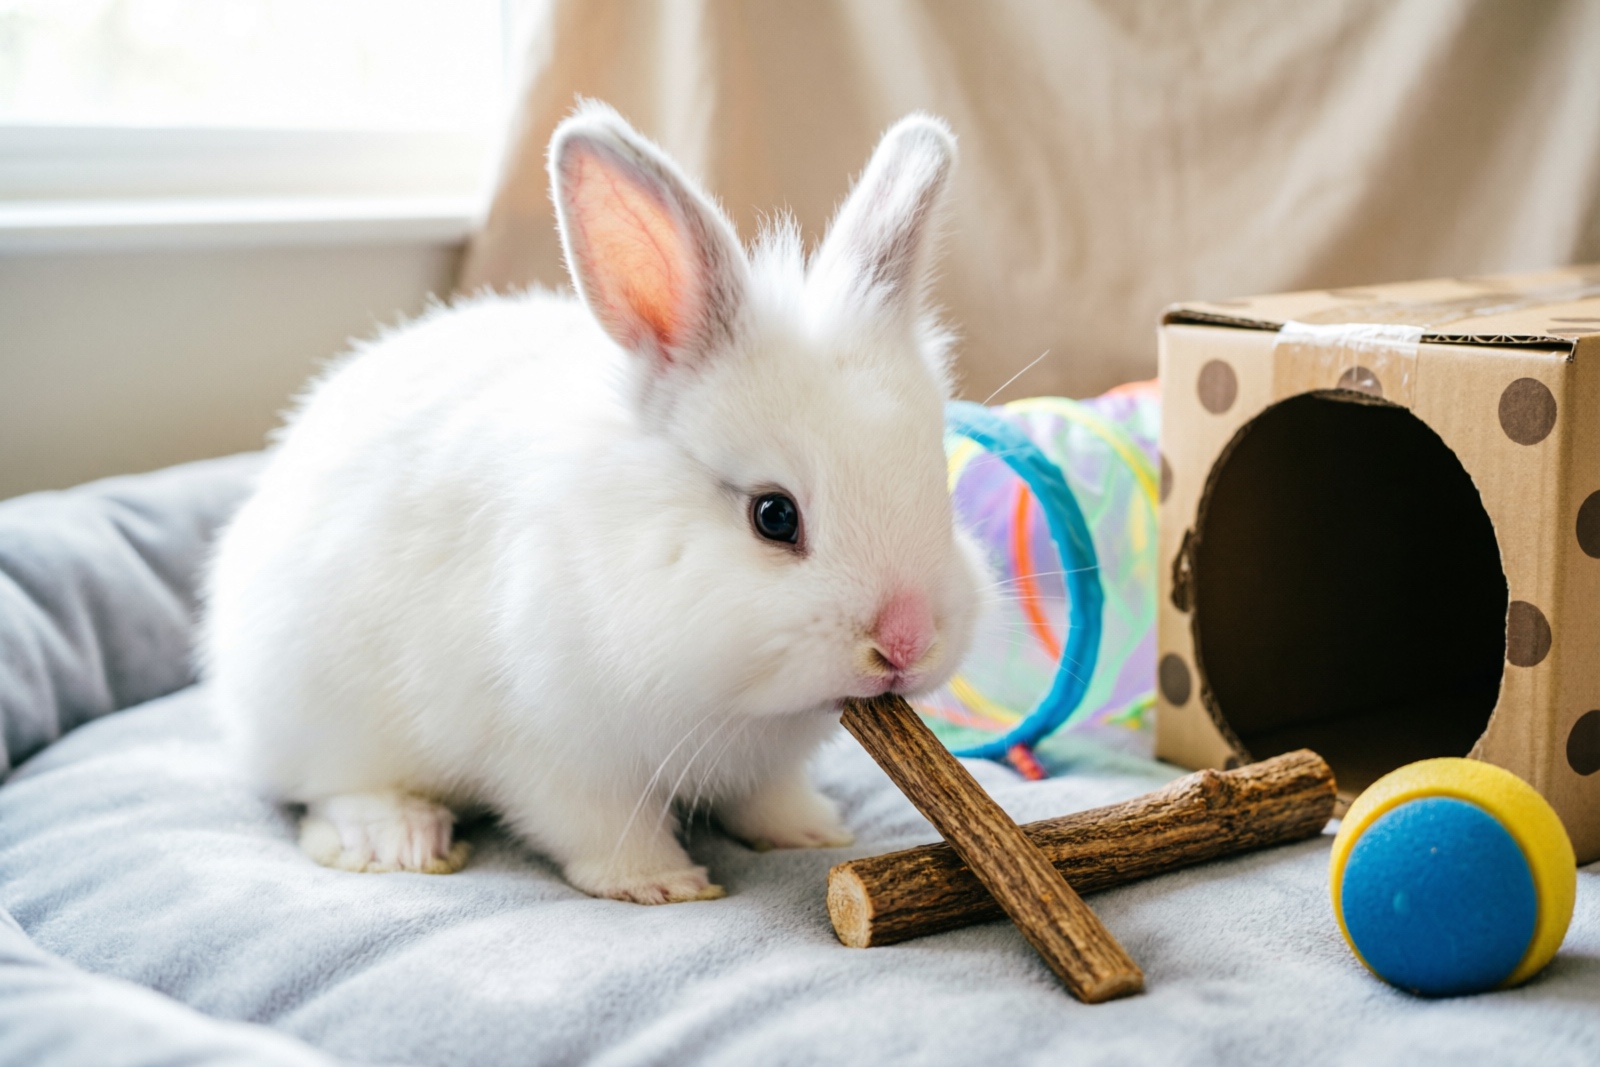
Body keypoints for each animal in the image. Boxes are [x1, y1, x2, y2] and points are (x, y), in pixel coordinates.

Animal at [200, 102, 987, 904]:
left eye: (938, 486)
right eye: (774, 516)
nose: (906, 641)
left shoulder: (760, 765)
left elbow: (766, 797)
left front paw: (810, 831)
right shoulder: (556, 752)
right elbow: (600, 827)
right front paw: (663, 884)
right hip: (322, 710)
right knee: (330, 792)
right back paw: (401, 839)